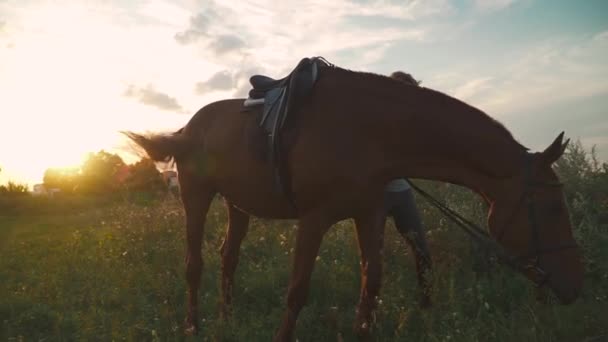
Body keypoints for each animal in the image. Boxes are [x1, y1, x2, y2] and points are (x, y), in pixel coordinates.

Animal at [124, 62, 584, 340]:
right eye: (551, 207)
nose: (573, 286)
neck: (368, 131)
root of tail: (188, 127)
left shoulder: (370, 213)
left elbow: (371, 285)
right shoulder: (314, 218)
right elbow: (297, 290)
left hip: (238, 205)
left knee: (228, 258)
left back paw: (227, 317)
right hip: (196, 197)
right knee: (194, 263)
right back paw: (193, 325)